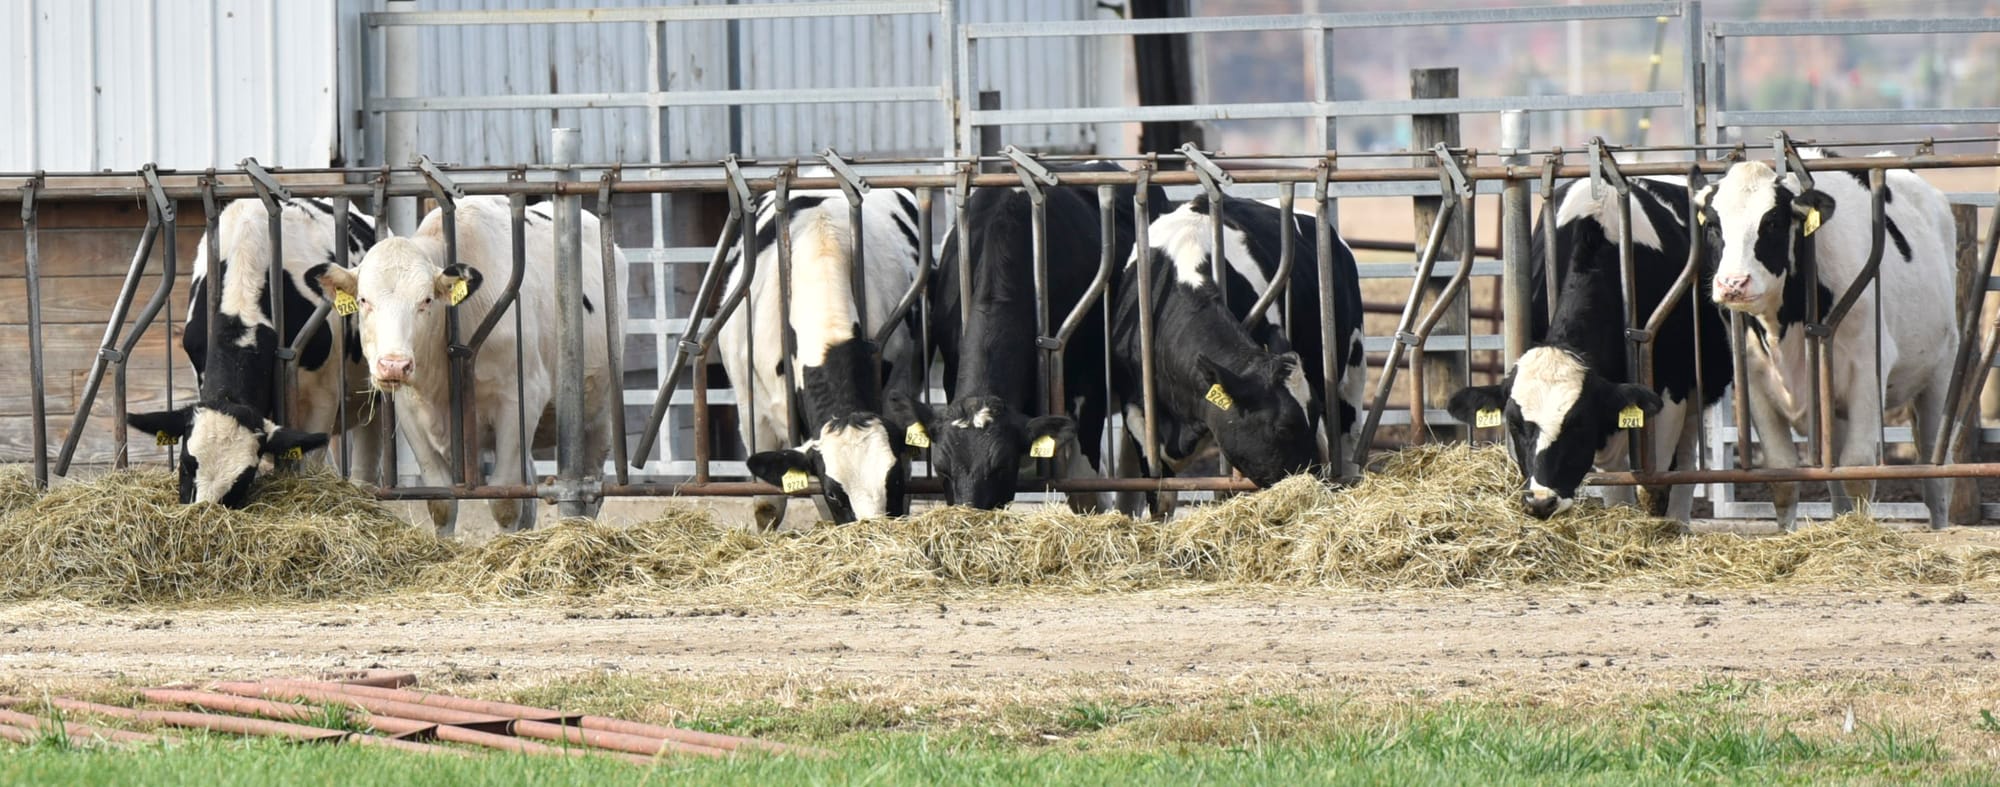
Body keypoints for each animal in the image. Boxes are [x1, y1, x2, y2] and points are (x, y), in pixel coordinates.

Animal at [318, 197, 625, 535]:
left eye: (426, 300)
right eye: (363, 300)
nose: (393, 366)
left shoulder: (518, 402)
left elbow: (505, 500)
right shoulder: (410, 411)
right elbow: (441, 501)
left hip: (598, 415)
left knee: (591, 489)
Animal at [1447, 177, 1732, 521]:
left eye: (1578, 423)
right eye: (1514, 423)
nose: (1541, 501)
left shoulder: (1669, 395)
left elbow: (1654, 484)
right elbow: (1617, 486)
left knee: (1686, 463)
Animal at [1696, 150, 1959, 529]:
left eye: (1772, 222)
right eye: (1714, 226)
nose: (1733, 284)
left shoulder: (1867, 372)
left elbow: (1858, 470)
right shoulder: (1756, 385)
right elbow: (1783, 475)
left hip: (1939, 374)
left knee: (1935, 472)